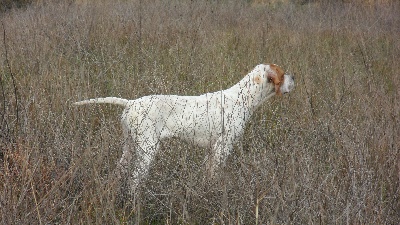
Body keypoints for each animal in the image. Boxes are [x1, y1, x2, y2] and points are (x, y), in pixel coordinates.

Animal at [74, 64, 294, 191]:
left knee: (119, 173)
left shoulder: (212, 149)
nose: (294, 77)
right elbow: (215, 175)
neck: (243, 98)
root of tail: (131, 103)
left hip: (129, 147)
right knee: (134, 180)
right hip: (147, 149)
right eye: (283, 74)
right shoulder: (223, 146)